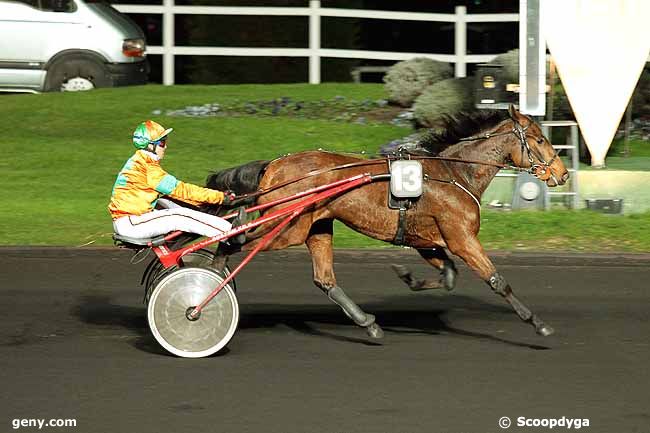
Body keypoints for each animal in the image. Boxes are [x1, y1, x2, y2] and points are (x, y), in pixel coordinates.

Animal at [205, 104, 564, 338]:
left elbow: (448, 275)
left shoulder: (427, 241)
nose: (561, 173)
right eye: (540, 139)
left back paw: (368, 323)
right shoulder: (462, 238)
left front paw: (409, 277)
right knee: (234, 240)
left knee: (325, 279)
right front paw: (537, 323)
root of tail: (273, 165)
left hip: (316, 226)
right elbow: (497, 281)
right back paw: (211, 284)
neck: (453, 173)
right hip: (287, 227)